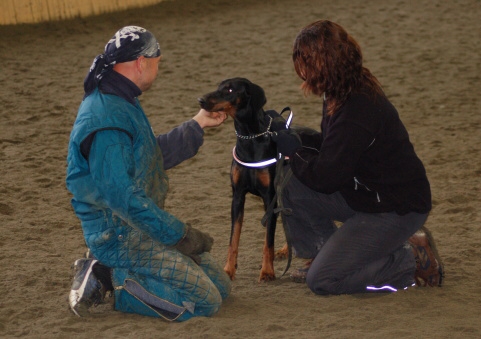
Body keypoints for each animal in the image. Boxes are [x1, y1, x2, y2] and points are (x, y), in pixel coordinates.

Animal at [196, 78, 284, 282]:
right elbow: (233, 238)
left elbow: (268, 240)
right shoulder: (237, 196)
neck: (250, 137)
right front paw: (229, 269)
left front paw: (267, 271)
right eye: (218, 87)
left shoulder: (270, 197)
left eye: (229, 90)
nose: (201, 100)